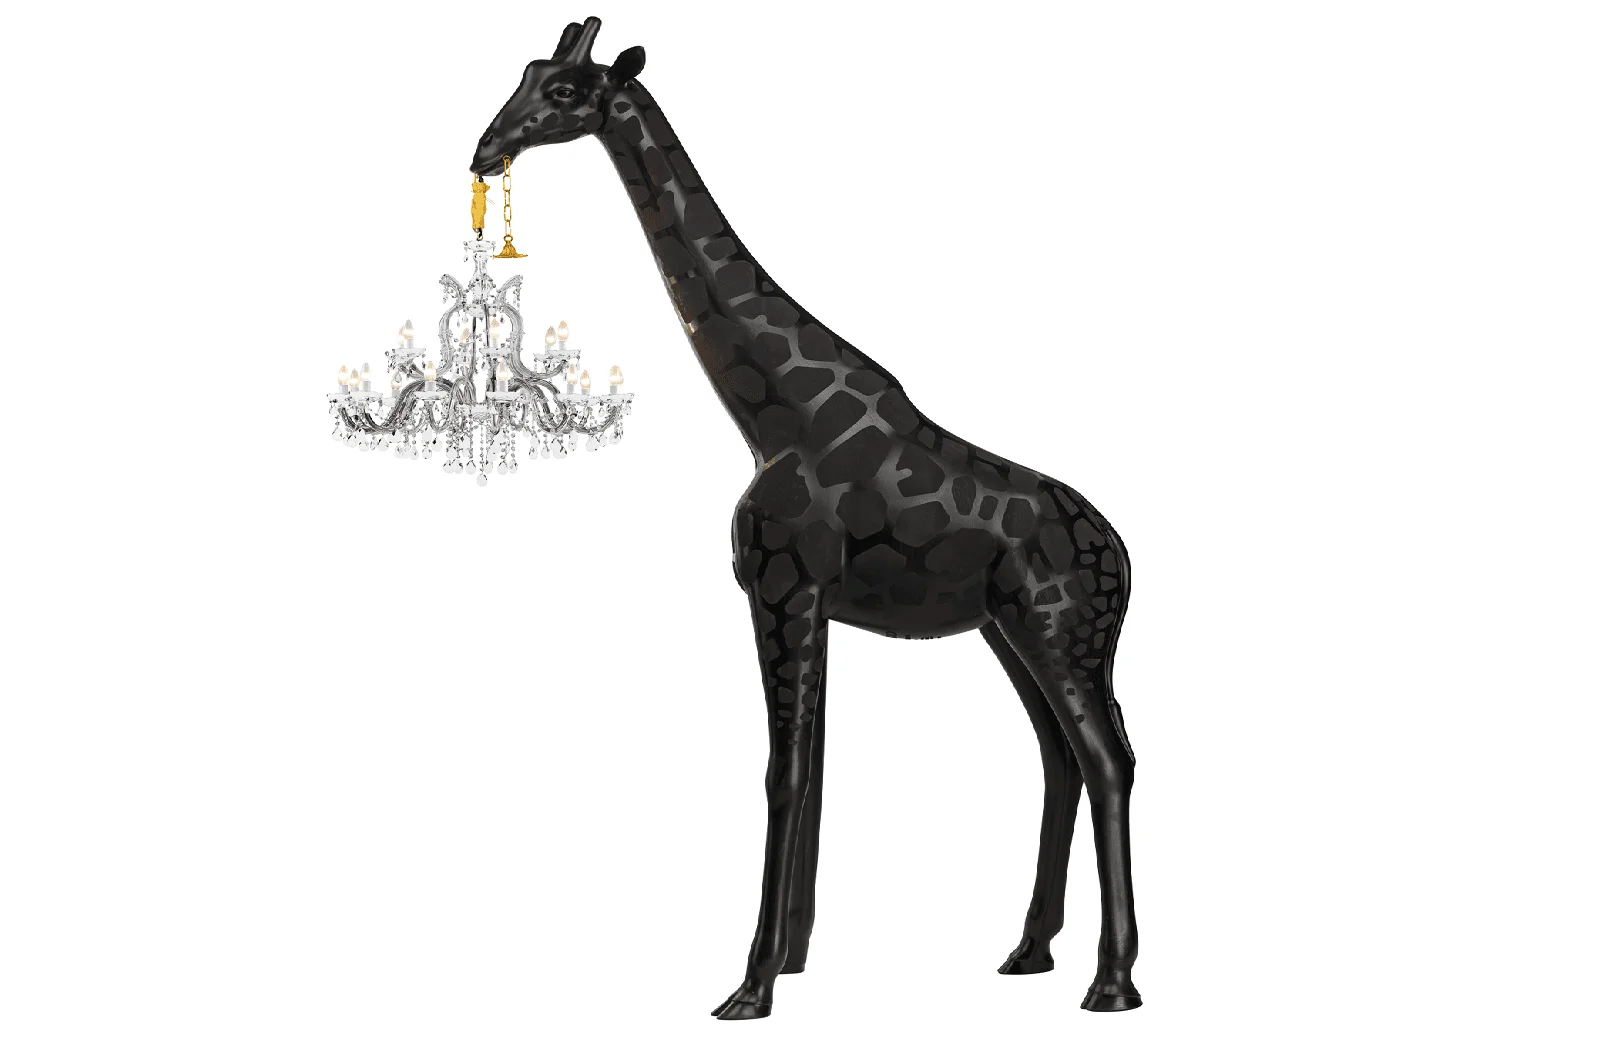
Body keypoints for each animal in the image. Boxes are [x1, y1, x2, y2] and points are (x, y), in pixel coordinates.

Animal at [473, 17, 1142, 1019]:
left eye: (562, 94)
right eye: (523, 74)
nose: (484, 150)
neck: (771, 417)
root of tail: (1127, 558)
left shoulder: (782, 591)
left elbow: (781, 773)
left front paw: (747, 988)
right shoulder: (811, 603)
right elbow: (815, 769)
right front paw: (790, 958)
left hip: (1065, 632)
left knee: (1109, 761)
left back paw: (1112, 980)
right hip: (1009, 629)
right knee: (1059, 759)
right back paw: (1028, 951)